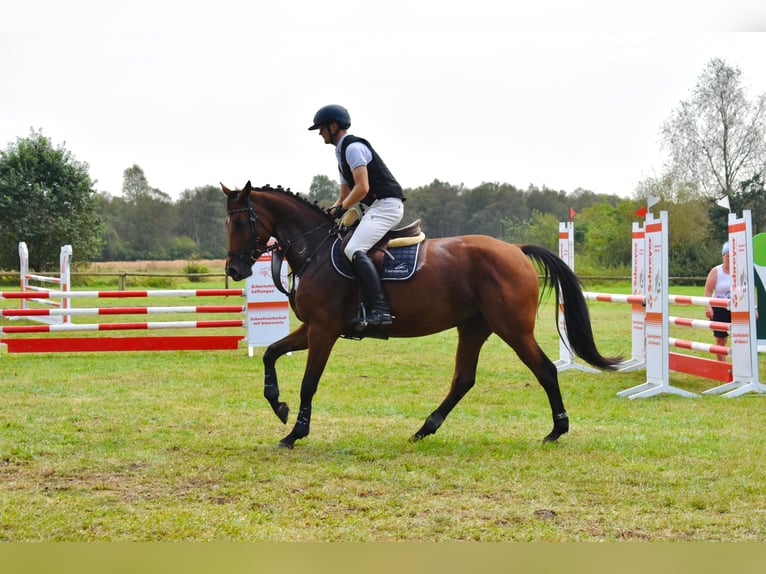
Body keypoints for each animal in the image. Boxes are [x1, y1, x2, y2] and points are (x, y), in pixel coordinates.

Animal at [220, 181, 616, 450]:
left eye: (238, 223)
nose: (235, 269)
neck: (315, 249)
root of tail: (515, 250)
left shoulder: (324, 330)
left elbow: (308, 382)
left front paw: (295, 432)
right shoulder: (313, 328)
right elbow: (271, 354)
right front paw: (279, 406)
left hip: (512, 328)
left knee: (545, 370)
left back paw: (557, 430)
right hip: (474, 327)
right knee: (463, 380)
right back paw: (426, 427)